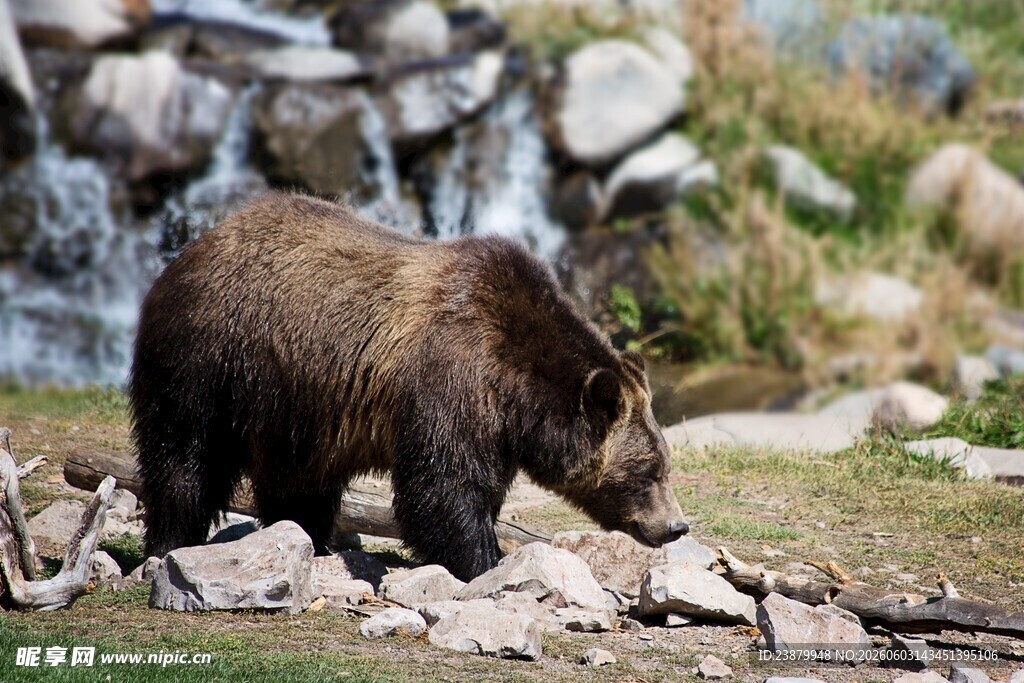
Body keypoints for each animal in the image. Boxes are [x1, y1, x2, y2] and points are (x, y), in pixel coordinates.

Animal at [129, 192, 688, 581]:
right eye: (649, 471)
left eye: (664, 464)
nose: (675, 526)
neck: (516, 389)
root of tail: (190, 250)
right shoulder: (452, 378)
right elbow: (442, 487)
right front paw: (484, 561)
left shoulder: (494, 426)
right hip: (211, 359)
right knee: (185, 456)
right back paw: (169, 542)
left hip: (294, 404)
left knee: (298, 480)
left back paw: (309, 538)